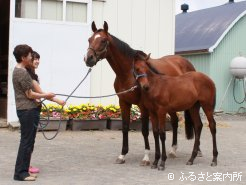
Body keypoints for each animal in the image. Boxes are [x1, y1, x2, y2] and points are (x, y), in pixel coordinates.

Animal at [84, 21, 196, 164]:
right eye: (89, 39)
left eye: (103, 40)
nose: (88, 59)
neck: (129, 73)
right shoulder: (123, 102)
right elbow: (125, 126)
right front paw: (122, 155)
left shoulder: (143, 106)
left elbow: (144, 130)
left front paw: (146, 157)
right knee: (175, 122)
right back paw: (172, 150)